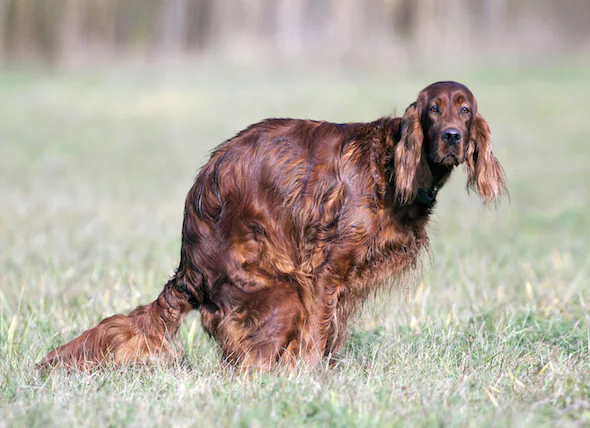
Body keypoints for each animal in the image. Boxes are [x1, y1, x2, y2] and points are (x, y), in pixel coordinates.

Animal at [38, 81, 508, 372]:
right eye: (433, 110)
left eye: (465, 110)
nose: (452, 136)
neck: (394, 167)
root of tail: (188, 269)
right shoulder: (324, 273)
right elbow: (315, 339)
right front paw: (311, 380)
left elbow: (331, 337)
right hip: (283, 294)